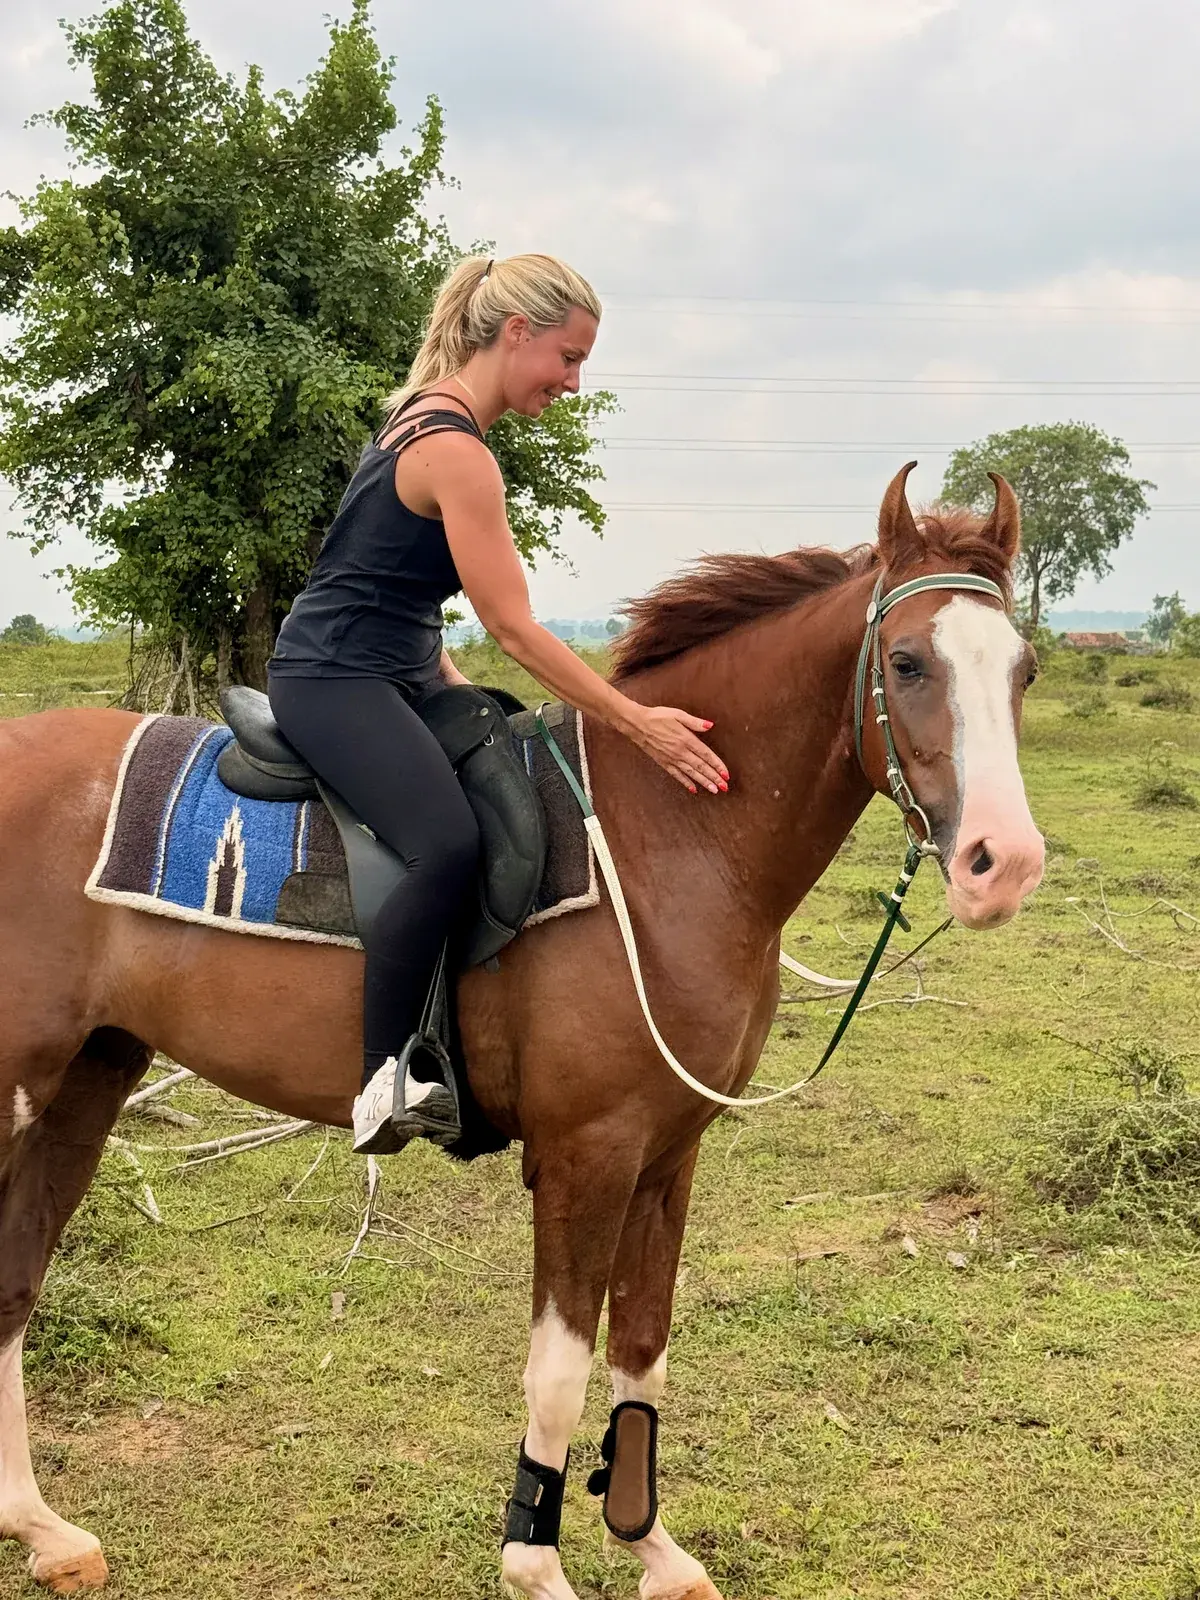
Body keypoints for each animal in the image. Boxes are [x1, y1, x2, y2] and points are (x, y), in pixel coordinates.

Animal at [0, 464, 1044, 1599]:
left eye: (1024, 669)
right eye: (907, 662)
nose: (1004, 862)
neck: (666, 838)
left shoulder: (669, 1152)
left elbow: (642, 1346)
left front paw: (650, 1544)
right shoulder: (589, 1153)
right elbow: (558, 1370)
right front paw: (534, 1560)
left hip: (87, 1077)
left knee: (14, 1277)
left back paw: (42, 1528)